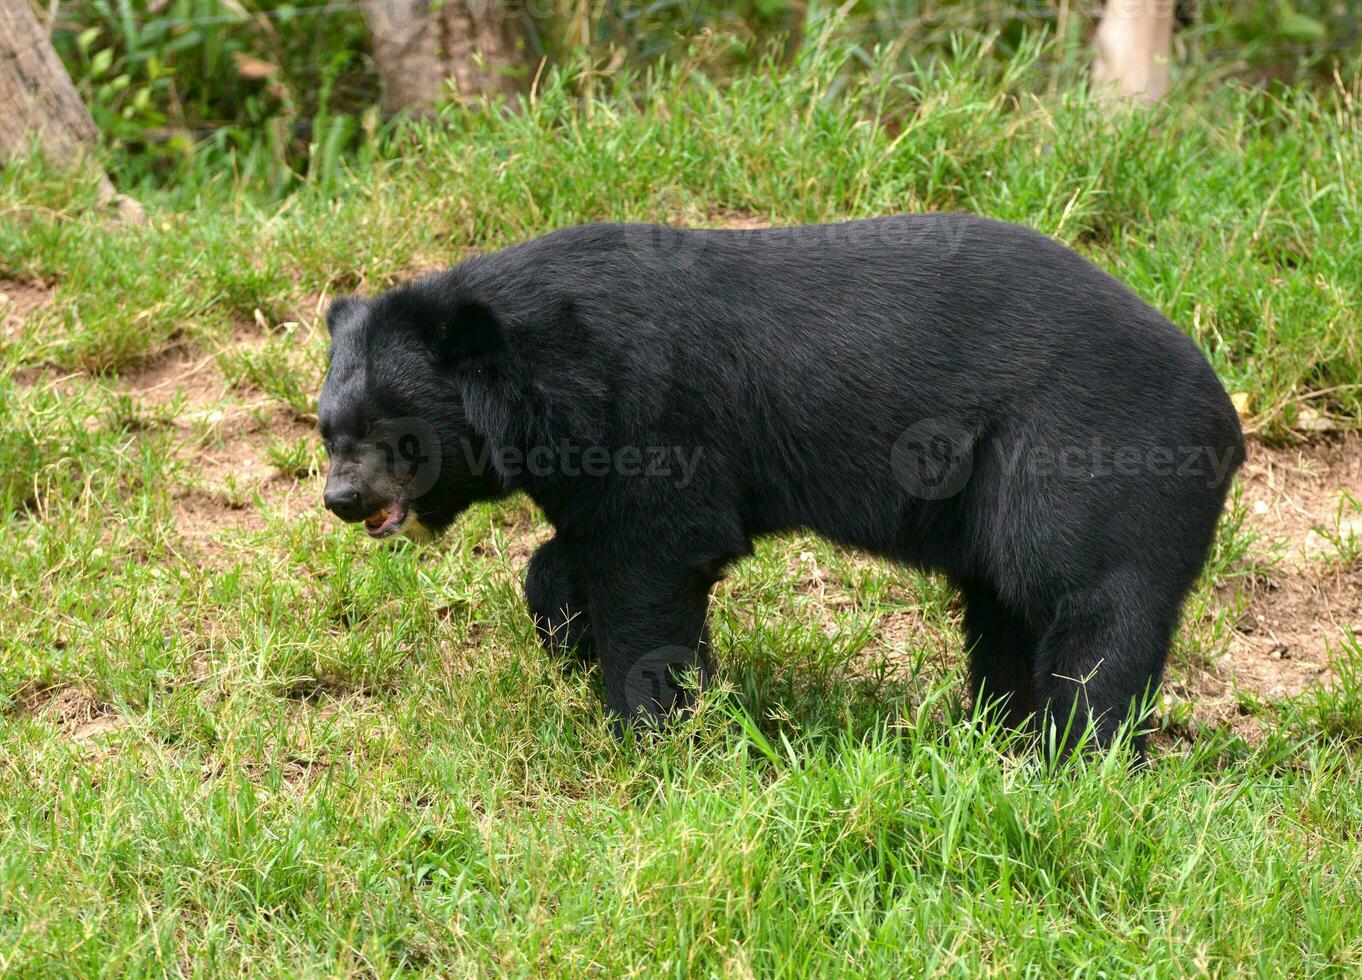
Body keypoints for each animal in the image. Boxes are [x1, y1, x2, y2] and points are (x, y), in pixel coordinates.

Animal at [318, 216, 1247, 756]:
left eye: (395, 431)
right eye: (328, 428)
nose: (341, 500)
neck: (543, 377)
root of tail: (1224, 417)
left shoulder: (650, 413)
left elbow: (655, 559)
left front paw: (650, 726)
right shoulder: (587, 460)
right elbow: (572, 554)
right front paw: (570, 641)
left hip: (1087, 456)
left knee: (1091, 611)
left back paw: (1076, 758)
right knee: (1006, 610)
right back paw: (999, 740)